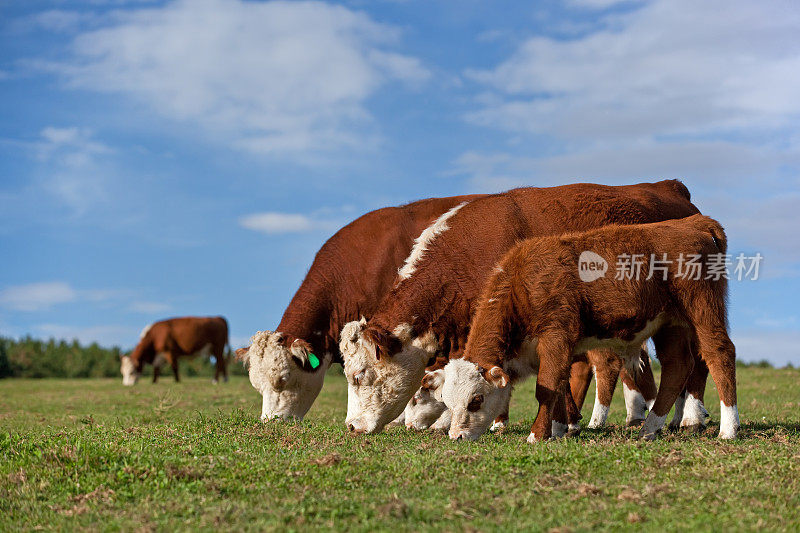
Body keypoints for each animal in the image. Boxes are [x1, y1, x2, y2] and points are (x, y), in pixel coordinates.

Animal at [444, 214, 736, 442]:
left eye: (476, 400)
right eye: (446, 402)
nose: (456, 436)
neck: (522, 284)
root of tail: (693, 223)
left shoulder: (556, 335)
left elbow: (546, 387)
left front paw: (537, 435)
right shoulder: (558, 348)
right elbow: (560, 384)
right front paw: (558, 430)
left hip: (701, 310)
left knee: (719, 354)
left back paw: (729, 428)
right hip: (670, 323)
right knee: (677, 366)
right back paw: (650, 428)